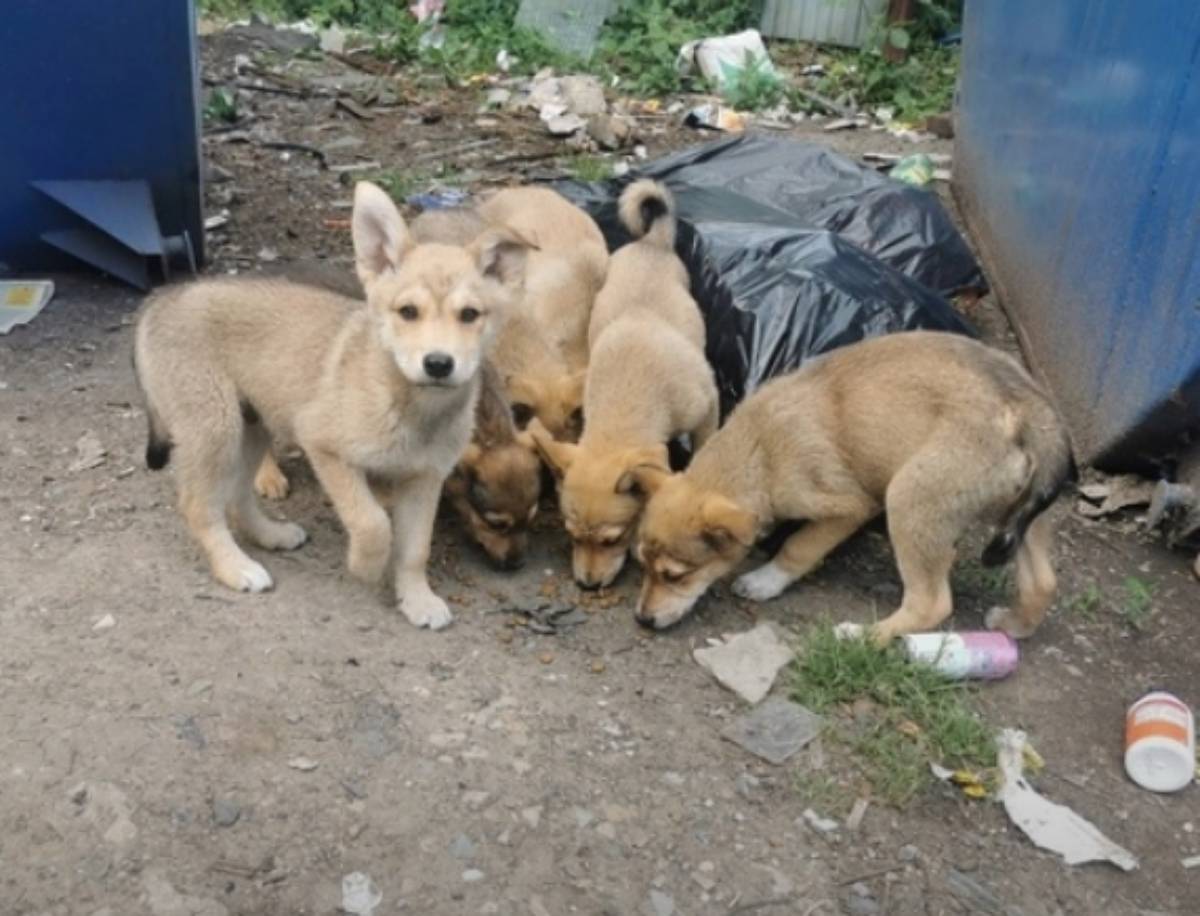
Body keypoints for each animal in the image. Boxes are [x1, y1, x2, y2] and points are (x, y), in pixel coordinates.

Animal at [132, 181, 525, 629]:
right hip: (215, 428)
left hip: (252, 425)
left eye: (470, 314)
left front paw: (417, 600)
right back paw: (236, 567)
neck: (409, 405)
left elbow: (415, 549)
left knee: (236, 494)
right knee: (200, 506)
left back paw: (270, 535)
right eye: (408, 312)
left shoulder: (425, 480)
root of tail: (160, 299)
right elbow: (372, 523)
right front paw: (365, 565)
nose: (439, 364)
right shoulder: (325, 447)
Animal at [633, 331, 1075, 643]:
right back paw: (1015, 625)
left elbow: (799, 546)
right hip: (1019, 517)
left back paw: (860, 637)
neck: (759, 452)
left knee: (931, 603)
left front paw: (765, 581)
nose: (642, 619)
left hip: (909, 499)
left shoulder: (850, 507)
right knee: (1043, 583)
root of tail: (1028, 407)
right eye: (643, 565)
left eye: (676, 576)